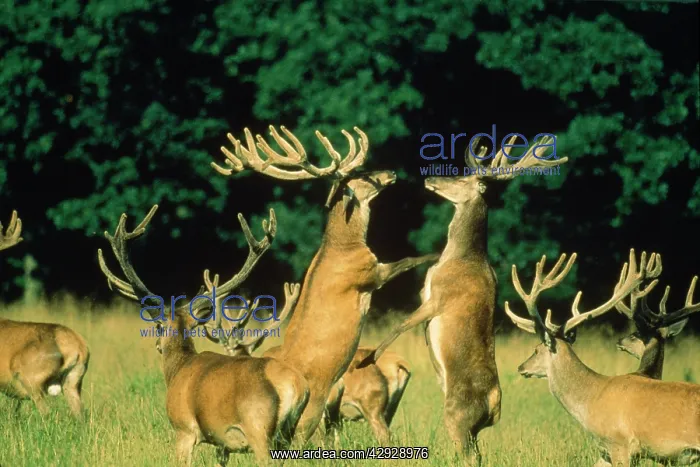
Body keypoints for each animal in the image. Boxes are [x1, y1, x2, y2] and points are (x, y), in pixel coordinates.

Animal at [97, 204, 310, 465]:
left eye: (158, 326)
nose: (157, 344)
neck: (177, 369)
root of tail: (296, 387)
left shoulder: (183, 429)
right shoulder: (221, 442)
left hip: (258, 427)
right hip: (289, 435)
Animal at [211, 125, 439, 442]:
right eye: (362, 174)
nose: (391, 172)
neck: (344, 245)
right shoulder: (368, 273)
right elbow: (408, 259)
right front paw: (440, 253)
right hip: (315, 405)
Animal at [357, 136, 568, 463]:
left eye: (462, 178)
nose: (430, 178)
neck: (459, 257)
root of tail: (494, 403)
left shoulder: (440, 296)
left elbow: (401, 324)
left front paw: (369, 358)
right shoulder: (427, 292)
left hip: (457, 416)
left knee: (470, 455)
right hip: (471, 427)